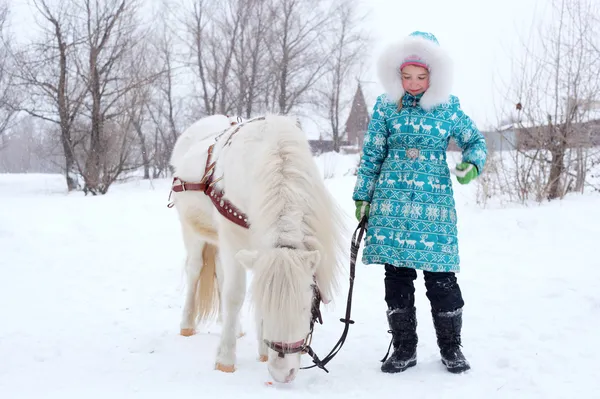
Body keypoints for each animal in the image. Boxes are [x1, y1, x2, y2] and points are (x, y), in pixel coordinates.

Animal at [169, 114, 346, 382]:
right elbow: (234, 295)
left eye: (307, 305)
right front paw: (225, 360)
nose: (282, 374)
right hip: (192, 231)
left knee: (220, 274)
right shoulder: (232, 236)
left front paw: (262, 352)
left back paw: (235, 328)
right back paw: (188, 325)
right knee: (195, 270)